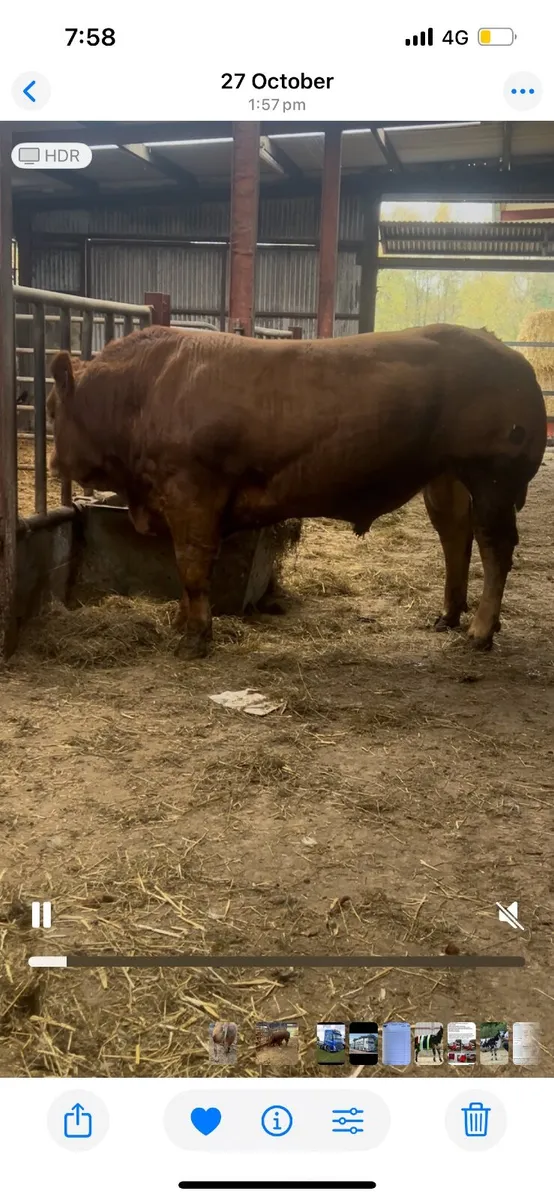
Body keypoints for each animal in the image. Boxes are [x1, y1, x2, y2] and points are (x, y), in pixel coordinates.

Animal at [47, 323, 547, 660]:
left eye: (51, 408)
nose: (53, 465)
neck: (146, 391)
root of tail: (511, 357)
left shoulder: (192, 493)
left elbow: (191, 566)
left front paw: (193, 638)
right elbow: (184, 572)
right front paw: (180, 623)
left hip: (494, 478)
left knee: (495, 547)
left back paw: (480, 632)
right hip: (445, 477)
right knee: (455, 536)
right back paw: (449, 615)